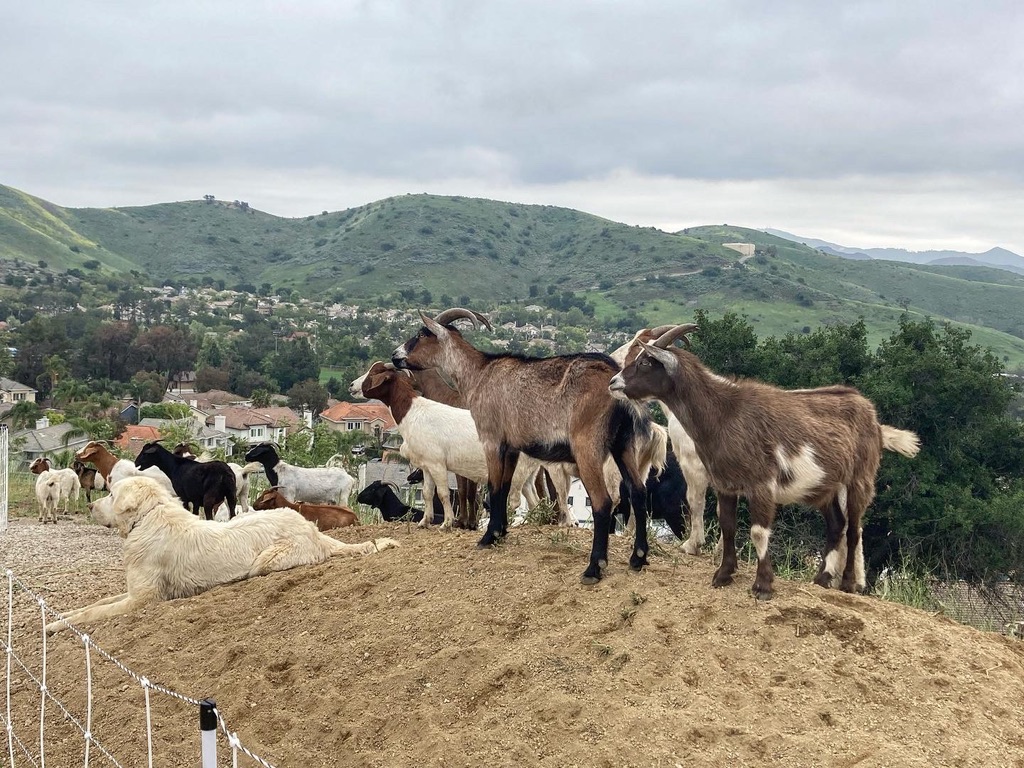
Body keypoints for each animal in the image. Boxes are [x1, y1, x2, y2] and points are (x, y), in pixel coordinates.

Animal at [357, 363, 573, 531]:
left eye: (374, 373)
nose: (353, 385)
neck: (414, 412)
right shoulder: (427, 465)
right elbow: (427, 493)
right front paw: (425, 522)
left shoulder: (437, 464)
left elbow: (443, 493)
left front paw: (447, 523)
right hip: (528, 472)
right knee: (535, 500)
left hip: (517, 472)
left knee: (516, 501)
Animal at [393, 307, 666, 584]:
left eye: (421, 334)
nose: (396, 356)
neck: (480, 373)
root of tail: (616, 382)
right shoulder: (512, 447)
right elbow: (503, 487)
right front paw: (500, 532)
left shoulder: (492, 439)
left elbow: (494, 487)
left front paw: (487, 538)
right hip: (624, 444)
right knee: (638, 492)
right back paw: (638, 558)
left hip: (587, 446)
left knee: (603, 502)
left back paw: (594, 568)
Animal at [608, 323, 922, 598]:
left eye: (644, 361)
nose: (613, 382)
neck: (723, 412)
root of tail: (872, 414)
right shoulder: (725, 483)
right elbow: (728, 525)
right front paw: (723, 575)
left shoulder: (760, 483)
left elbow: (758, 532)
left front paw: (763, 586)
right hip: (825, 484)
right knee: (837, 525)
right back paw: (821, 579)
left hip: (859, 478)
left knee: (854, 529)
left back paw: (847, 584)